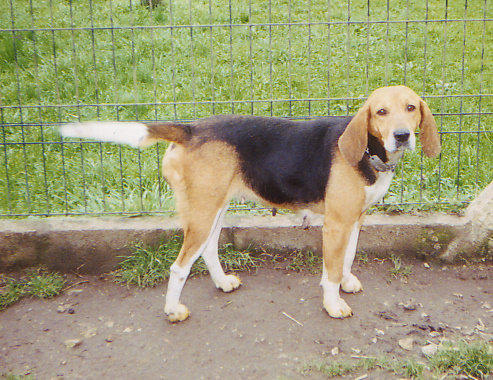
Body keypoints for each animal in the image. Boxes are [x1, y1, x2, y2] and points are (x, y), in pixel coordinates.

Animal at [59, 87, 440, 324]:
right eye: (381, 112)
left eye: (411, 107)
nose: (402, 136)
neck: (368, 151)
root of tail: (191, 129)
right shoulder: (335, 224)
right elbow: (330, 271)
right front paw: (334, 304)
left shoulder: (355, 220)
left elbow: (346, 259)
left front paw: (347, 281)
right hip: (202, 214)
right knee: (179, 267)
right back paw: (173, 310)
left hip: (215, 209)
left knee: (209, 250)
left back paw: (222, 283)